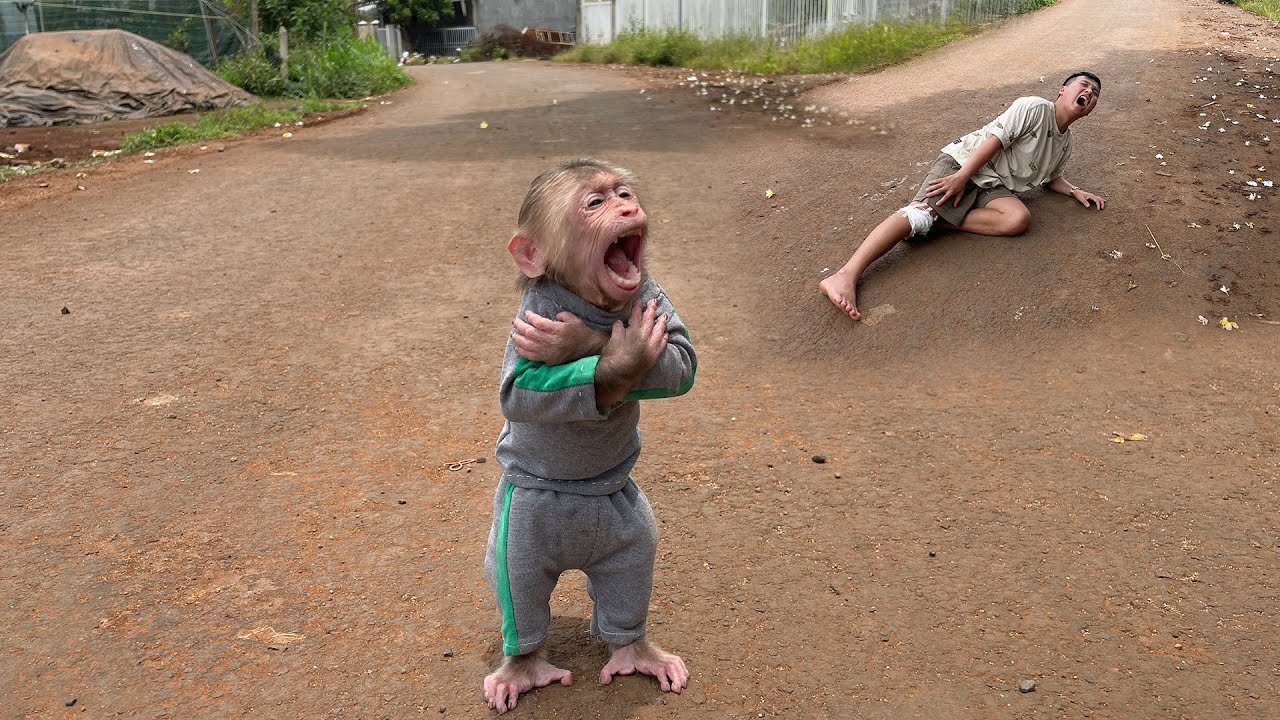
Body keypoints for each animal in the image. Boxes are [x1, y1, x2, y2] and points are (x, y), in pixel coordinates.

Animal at [482, 158, 697, 714]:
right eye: (594, 203)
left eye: (623, 193)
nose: (626, 208)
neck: (592, 301)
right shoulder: (532, 316)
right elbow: (521, 393)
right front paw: (597, 348)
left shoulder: (655, 296)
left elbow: (681, 361)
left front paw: (593, 342)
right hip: (520, 530)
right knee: (522, 595)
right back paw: (523, 667)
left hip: (630, 531)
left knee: (628, 583)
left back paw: (635, 651)